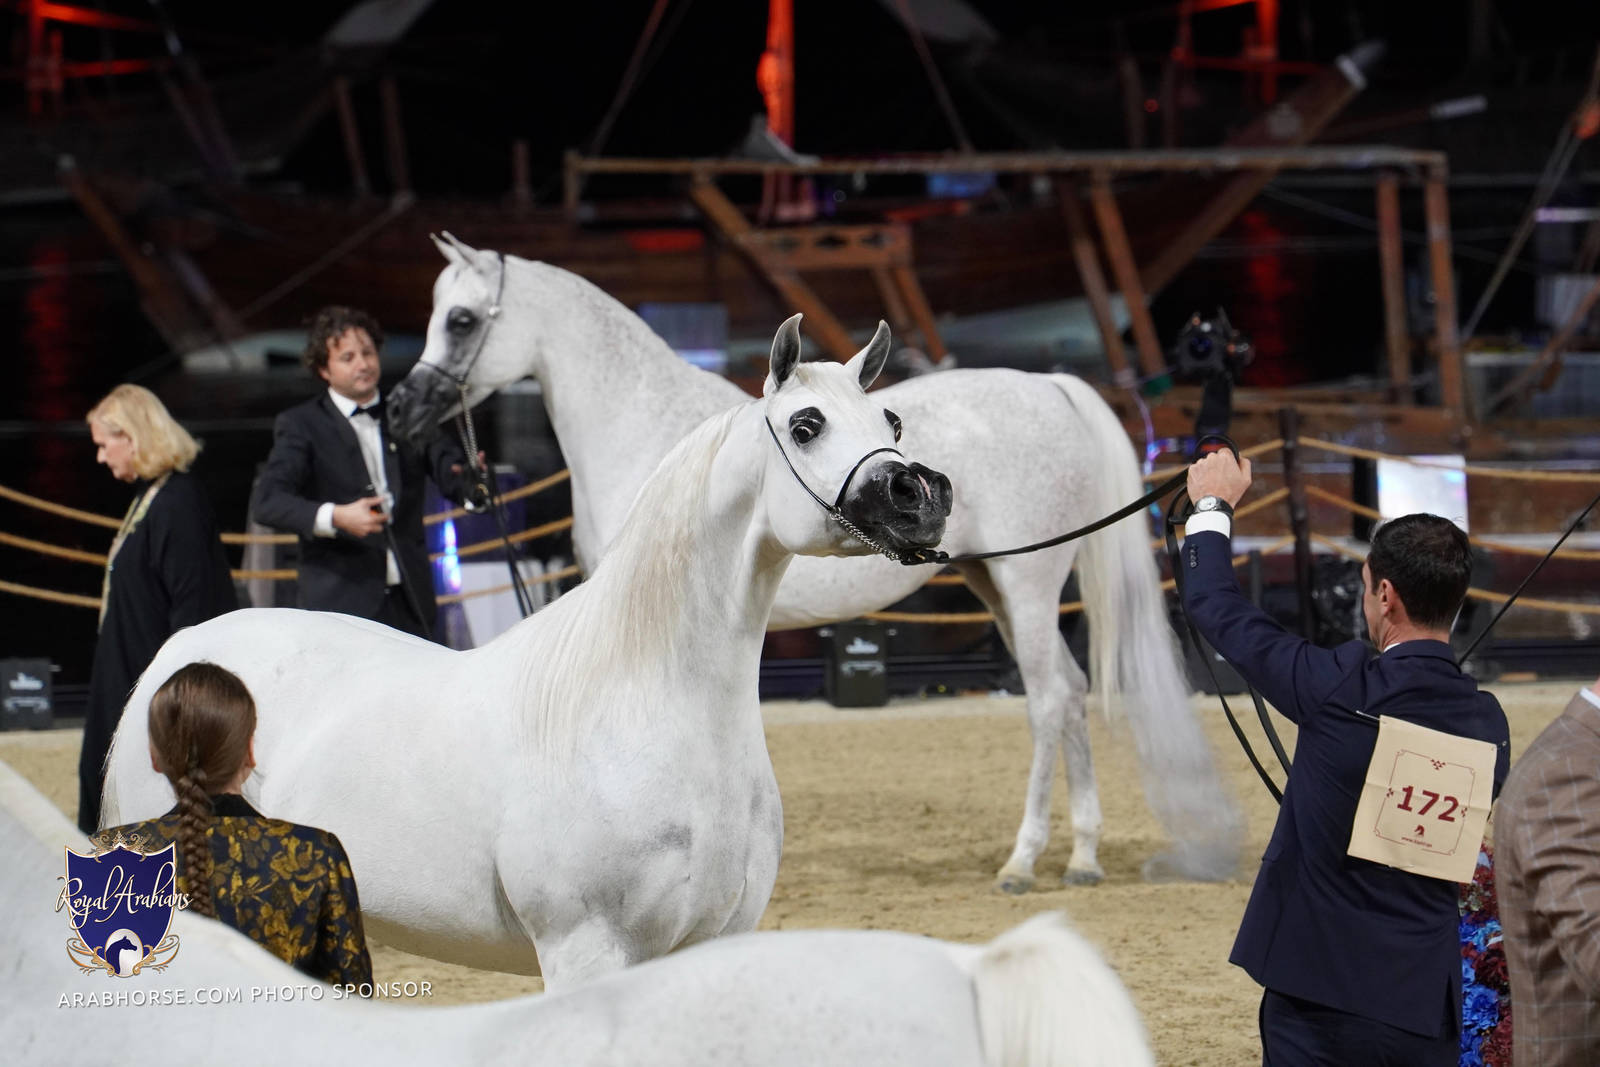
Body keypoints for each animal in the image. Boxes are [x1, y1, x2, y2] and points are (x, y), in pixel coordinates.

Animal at [101, 315, 953, 989]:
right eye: (806, 424)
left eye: (892, 420)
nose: (921, 496)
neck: (647, 702)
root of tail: (178, 654)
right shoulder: (585, 952)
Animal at [387, 234, 1244, 891]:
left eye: (461, 320)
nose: (399, 409)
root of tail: (1055, 387)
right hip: (993, 578)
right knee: (1067, 692)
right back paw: (1083, 855)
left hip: (1029, 587)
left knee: (1051, 698)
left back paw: (1025, 861)